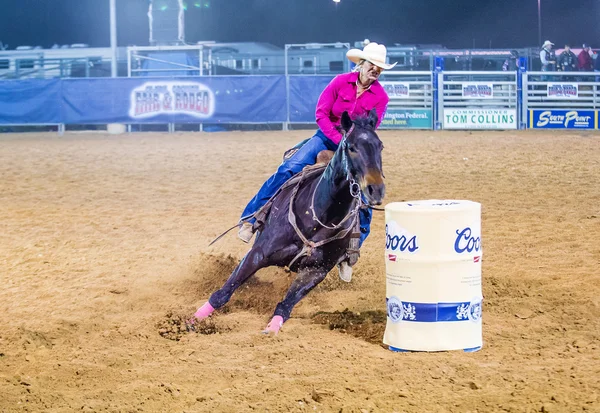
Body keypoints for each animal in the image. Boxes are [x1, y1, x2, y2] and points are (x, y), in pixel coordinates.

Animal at [195, 108, 386, 332]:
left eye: (380, 146)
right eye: (352, 147)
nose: (376, 189)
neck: (320, 216)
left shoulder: (316, 271)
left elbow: (286, 306)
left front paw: (271, 330)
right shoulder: (258, 254)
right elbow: (224, 292)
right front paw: (192, 320)